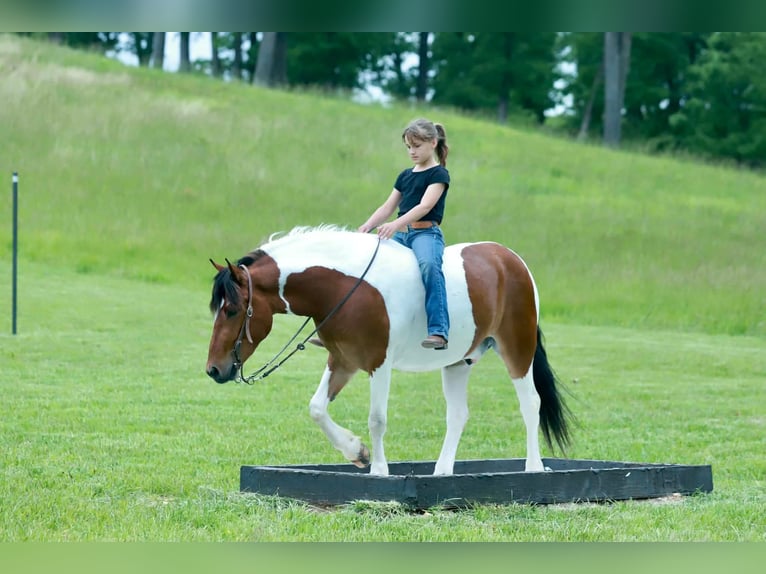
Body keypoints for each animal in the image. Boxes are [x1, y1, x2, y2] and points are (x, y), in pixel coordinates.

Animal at [205, 225, 571, 476]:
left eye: (232, 310)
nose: (214, 369)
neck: (346, 287)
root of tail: (510, 259)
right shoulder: (343, 360)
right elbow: (317, 408)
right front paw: (357, 452)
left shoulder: (378, 364)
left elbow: (377, 419)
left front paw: (379, 471)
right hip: (459, 361)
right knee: (458, 414)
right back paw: (442, 472)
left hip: (517, 348)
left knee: (531, 404)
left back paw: (533, 468)